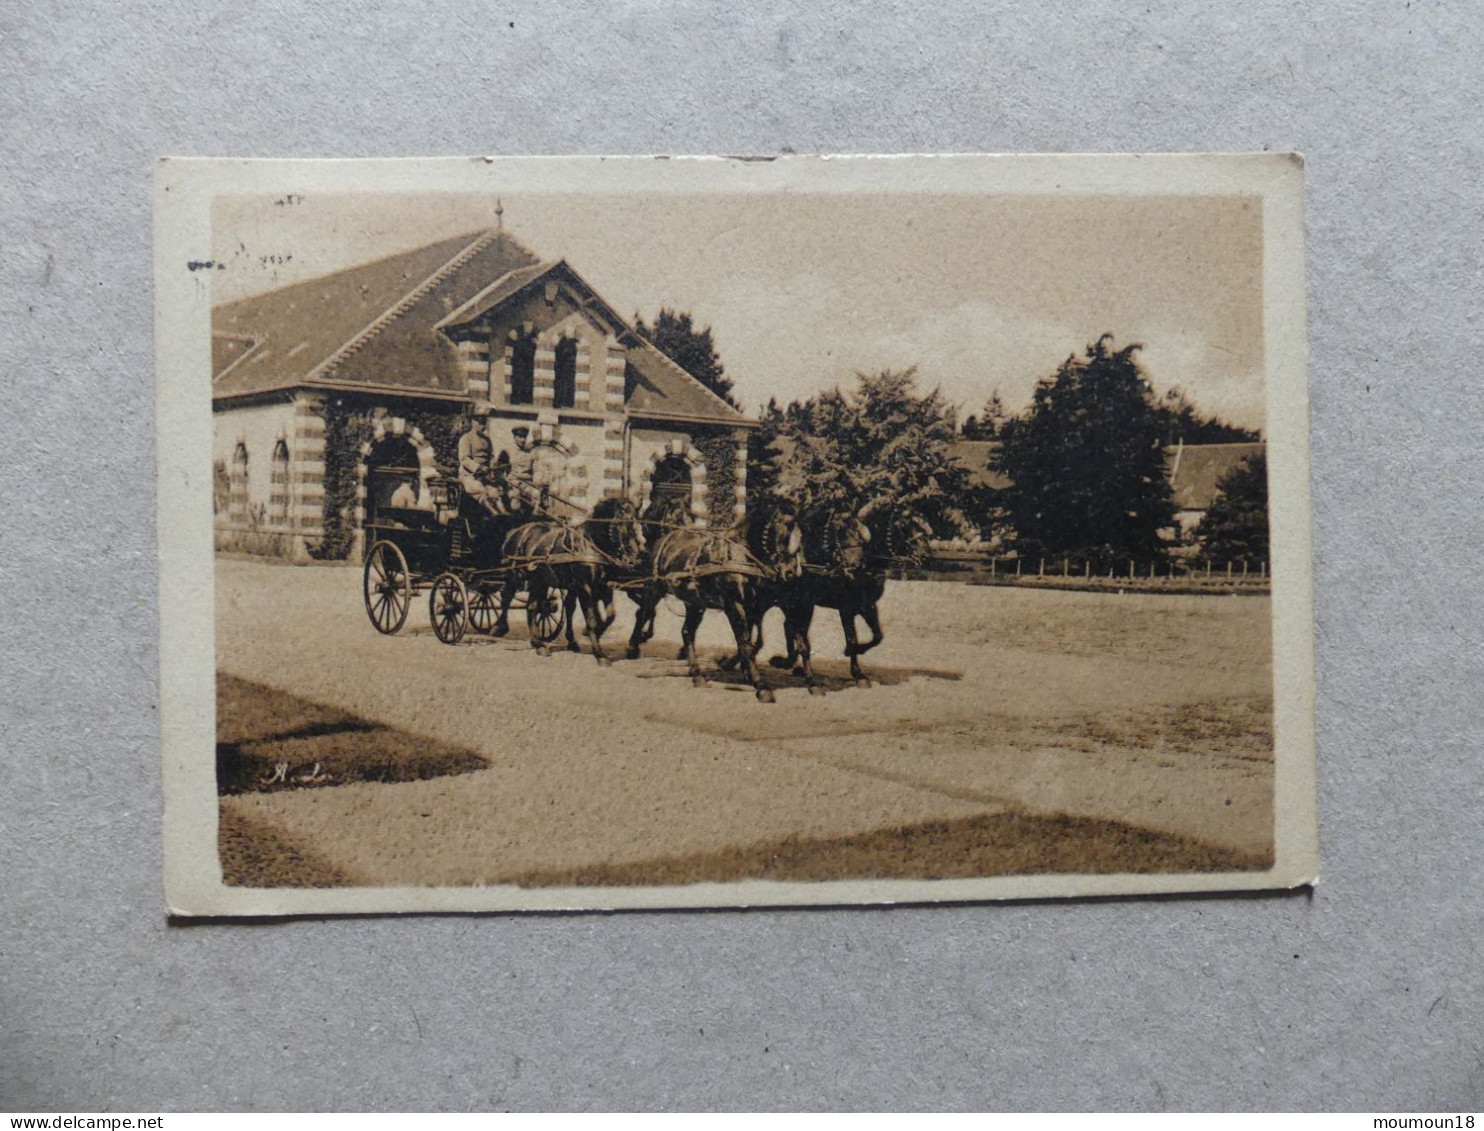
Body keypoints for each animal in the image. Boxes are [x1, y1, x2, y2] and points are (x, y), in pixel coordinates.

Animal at [492, 495, 644, 661]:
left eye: (635, 525)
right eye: (619, 523)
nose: (632, 558)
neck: (590, 545)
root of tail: (515, 532)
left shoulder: (604, 586)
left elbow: (610, 615)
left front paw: (592, 636)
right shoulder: (585, 588)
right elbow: (591, 619)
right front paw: (599, 653)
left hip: (539, 581)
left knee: (532, 607)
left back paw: (538, 643)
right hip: (515, 575)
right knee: (506, 598)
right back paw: (499, 627)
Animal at [626, 492, 801, 700]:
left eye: (799, 534)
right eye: (779, 530)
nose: (791, 573)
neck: (740, 554)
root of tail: (667, 537)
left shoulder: (753, 607)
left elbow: (749, 642)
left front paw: (743, 670)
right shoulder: (735, 605)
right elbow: (745, 642)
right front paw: (760, 684)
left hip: (694, 602)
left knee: (686, 632)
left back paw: (697, 675)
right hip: (655, 589)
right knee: (643, 614)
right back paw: (633, 648)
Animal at [759, 498, 931, 691]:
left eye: (923, 524)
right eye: (902, 525)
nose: (925, 555)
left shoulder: (868, 605)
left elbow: (878, 636)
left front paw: (854, 656)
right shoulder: (846, 608)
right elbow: (852, 638)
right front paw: (858, 672)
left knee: (789, 626)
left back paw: (790, 664)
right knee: (790, 626)